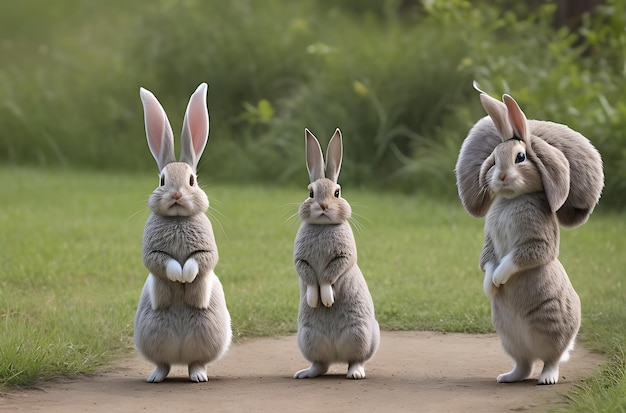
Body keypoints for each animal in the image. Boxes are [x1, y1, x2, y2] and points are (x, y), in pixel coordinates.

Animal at [133, 83, 230, 384]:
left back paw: (197, 376)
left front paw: (186, 277)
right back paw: (156, 376)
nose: (176, 195)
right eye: (162, 180)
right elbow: (162, 261)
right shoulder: (153, 251)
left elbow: (201, 260)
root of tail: (179, 356)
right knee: (163, 363)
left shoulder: (206, 249)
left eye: (192, 180)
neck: (177, 220)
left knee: (197, 362)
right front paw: (178, 276)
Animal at [292, 127, 378, 378]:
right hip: (307, 337)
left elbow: (329, 275)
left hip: (361, 334)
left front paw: (327, 299)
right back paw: (305, 373)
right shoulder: (301, 260)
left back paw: (355, 373)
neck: (323, 226)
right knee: (321, 365)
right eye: (311, 193)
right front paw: (315, 300)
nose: (323, 206)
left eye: (337, 193)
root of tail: (336, 356)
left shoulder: (343, 257)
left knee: (356, 359)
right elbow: (310, 277)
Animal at [456, 83, 604, 384]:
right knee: (523, 365)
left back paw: (546, 378)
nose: (500, 177)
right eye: (493, 159)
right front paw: (490, 286)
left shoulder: (536, 240)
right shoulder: (489, 244)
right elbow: (488, 261)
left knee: (551, 360)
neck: (513, 199)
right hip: (509, 339)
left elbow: (520, 258)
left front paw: (499, 279)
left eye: (520, 157)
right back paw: (507, 377)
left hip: (551, 332)